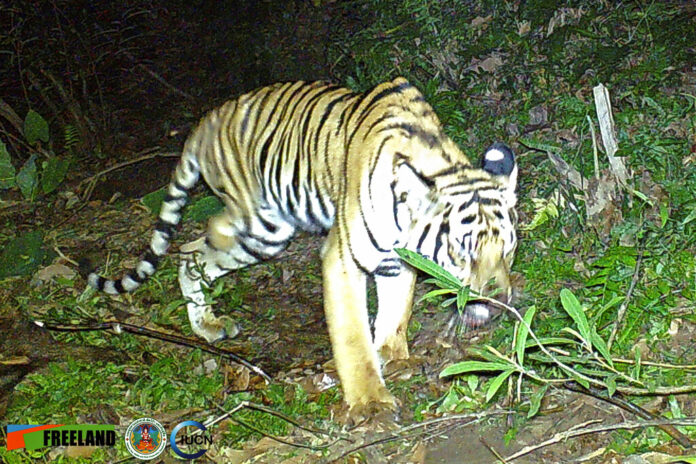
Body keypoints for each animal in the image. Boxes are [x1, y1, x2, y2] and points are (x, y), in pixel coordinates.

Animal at [87, 78, 516, 418]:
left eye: (509, 250)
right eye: (463, 252)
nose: (500, 302)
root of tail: (206, 121)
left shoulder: (397, 263)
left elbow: (395, 314)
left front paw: (392, 356)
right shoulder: (343, 259)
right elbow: (352, 336)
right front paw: (370, 401)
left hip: (263, 237)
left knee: (191, 251)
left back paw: (208, 325)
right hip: (262, 227)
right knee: (201, 239)